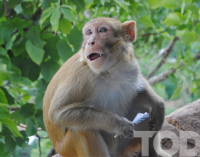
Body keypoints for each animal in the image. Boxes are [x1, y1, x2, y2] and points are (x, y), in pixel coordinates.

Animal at [43, 17, 171, 157]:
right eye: (89, 32)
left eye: (102, 30)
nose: (90, 42)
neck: (110, 68)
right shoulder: (82, 77)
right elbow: (57, 113)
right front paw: (118, 124)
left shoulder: (131, 64)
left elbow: (139, 90)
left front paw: (158, 104)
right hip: (69, 148)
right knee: (83, 128)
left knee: (143, 109)